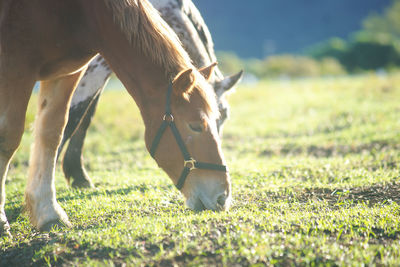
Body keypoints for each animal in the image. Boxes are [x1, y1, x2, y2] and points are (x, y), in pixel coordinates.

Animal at [57, 0, 242, 189]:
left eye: (222, 117)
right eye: (196, 124)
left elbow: (86, 117)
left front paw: (77, 175)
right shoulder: (96, 66)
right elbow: (74, 115)